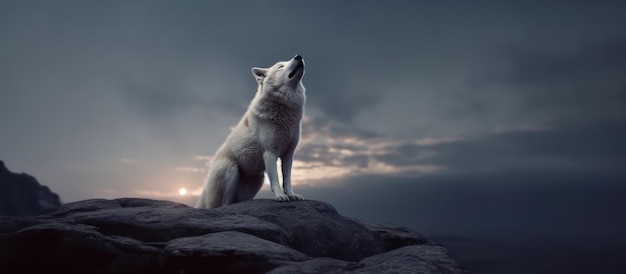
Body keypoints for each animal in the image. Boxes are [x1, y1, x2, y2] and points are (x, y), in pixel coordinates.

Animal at [193, 55, 304, 209]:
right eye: (280, 66)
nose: (298, 56)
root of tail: (204, 190)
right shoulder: (270, 153)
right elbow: (276, 180)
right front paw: (280, 196)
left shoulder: (288, 154)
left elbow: (287, 180)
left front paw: (292, 195)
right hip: (232, 170)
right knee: (224, 205)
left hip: (256, 181)